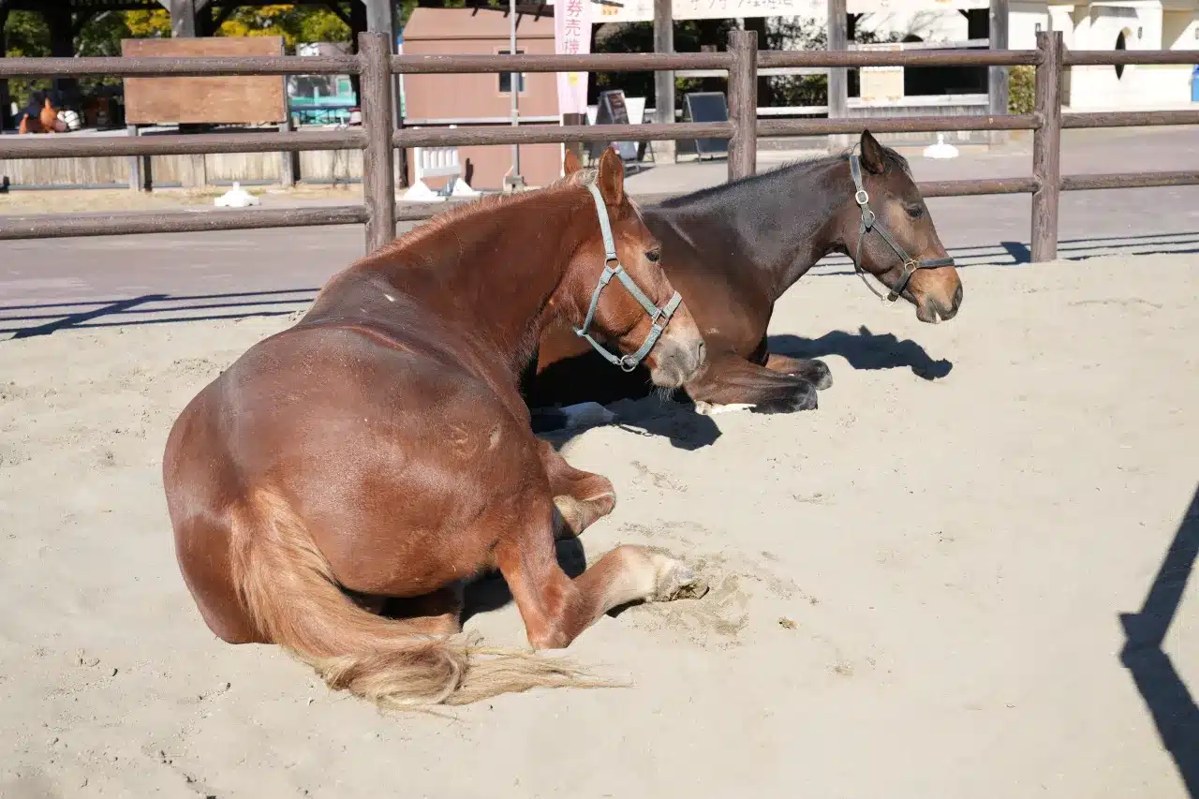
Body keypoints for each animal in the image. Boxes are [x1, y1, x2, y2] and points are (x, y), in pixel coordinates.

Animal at [161, 148, 709, 709]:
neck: (433, 302)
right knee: (552, 611)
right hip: (512, 470)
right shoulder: (539, 454)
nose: (695, 349)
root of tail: (249, 498)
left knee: (430, 626)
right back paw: (655, 568)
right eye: (655, 254)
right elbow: (601, 490)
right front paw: (570, 511)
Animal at [524, 130, 963, 414]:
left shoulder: (758, 355)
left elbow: (819, 371)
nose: (953, 293)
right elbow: (802, 391)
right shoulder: (709, 370)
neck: (724, 256)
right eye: (914, 210)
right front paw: (710, 406)